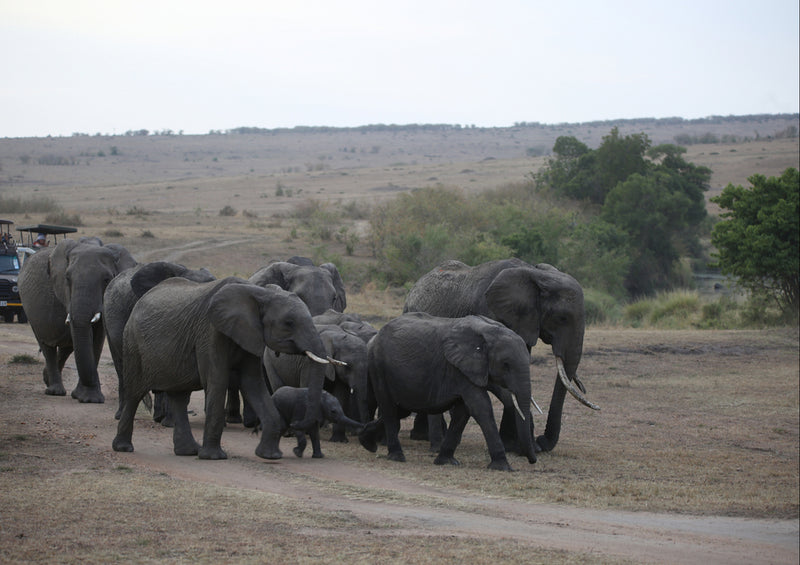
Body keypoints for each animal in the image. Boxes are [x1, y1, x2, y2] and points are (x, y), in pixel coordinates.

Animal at [18, 236, 136, 404]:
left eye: (107, 279)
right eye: (67, 278)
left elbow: (97, 339)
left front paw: (89, 399)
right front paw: (88, 398)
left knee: (67, 347)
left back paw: (47, 378)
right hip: (29, 309)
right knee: (47, 346)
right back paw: (55, 391)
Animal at [111, 276, 330, 458]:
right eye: (289, 322)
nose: (294, 427)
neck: (258, 293)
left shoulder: (250, 335)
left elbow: (252, 383)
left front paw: (270, 456)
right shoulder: (210, 331)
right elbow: (217, 380)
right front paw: (213, 457)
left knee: (179, 397)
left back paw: (188, 452)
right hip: (132, 344)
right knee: (135, 393)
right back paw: (124, 448)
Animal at [360, 310, 536, 470]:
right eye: (506, 365)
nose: (532, 461)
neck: (488, 330)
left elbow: (463, 411)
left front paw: (447, 462)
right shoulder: (458, 368)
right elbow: (480, 407)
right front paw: (502, 467)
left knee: (400, 410)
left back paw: (366, 442)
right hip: (378, 366)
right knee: (389, 408)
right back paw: (397, 457)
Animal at [404, 258, 596, 452]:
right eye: (562, 318)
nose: (542, 441)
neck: (536, 274)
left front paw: (516, 446)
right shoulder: (490, 312)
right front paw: (522, 446)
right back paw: (424, 437)